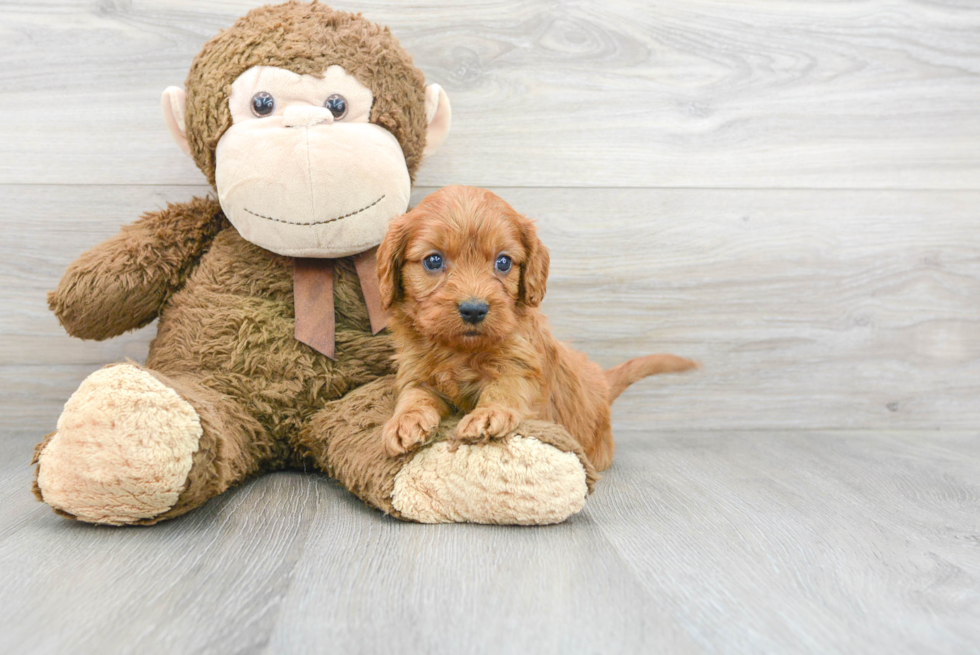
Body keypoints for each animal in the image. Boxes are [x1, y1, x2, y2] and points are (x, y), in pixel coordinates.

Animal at [376, 186, 696, 472]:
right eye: (433, 260)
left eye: (503, 262)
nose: (474, 309)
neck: (459, 349)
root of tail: (601, 383)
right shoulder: (417, 374)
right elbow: (414, 396)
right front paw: (404, 422)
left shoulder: (520, 365)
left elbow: (505, 388)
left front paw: (488, 414)